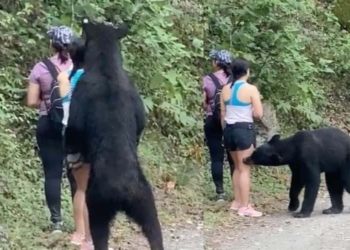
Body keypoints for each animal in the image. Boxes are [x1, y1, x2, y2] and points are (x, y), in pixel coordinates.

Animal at [64, 19, 164, 250]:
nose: (74, 44)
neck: (106, 66)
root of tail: (122, 192)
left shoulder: (81, 94)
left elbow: (74, 129)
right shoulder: (134, 94)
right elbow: (140, 122)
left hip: (97, 202)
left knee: (99, 231)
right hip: (144, 198)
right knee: (154, 229)